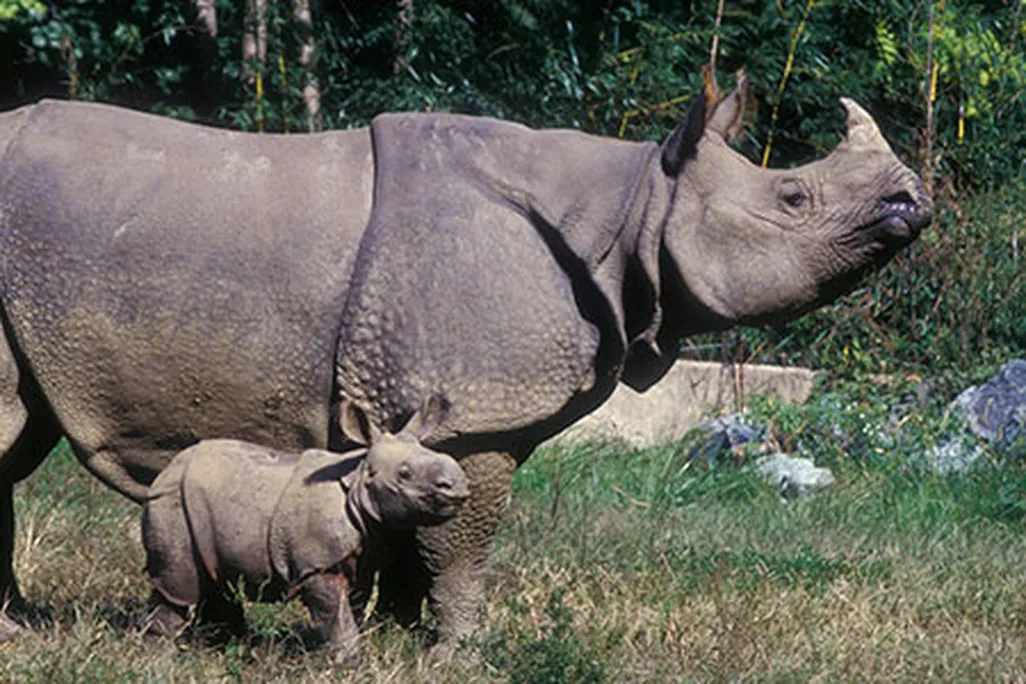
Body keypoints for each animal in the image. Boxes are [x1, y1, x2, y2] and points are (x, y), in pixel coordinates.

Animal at [142, 397, 468, 662]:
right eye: (404, 474)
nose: (458, 486)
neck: (358, 477)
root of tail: (168, 469)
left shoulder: (362, 551)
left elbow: (352, 605)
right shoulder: (318, 564)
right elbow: (336, 616)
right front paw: (348, 663)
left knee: (216, 578)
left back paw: (234, 647)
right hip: (173, 500)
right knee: (179, 586)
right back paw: (160, 659)